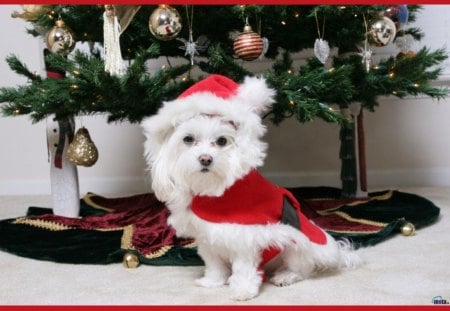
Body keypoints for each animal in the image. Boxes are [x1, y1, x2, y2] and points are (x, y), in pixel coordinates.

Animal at [142, 74, 360, 302]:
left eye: (222, 141)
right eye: (188, 139)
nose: (205, 159)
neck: (215, 193)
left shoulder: (246, 239)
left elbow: (244, 269)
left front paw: (242, 290)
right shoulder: (207, 238)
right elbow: (214, 265)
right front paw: (213, 282)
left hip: (296, 244)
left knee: (303, 268)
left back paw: (285, 275)